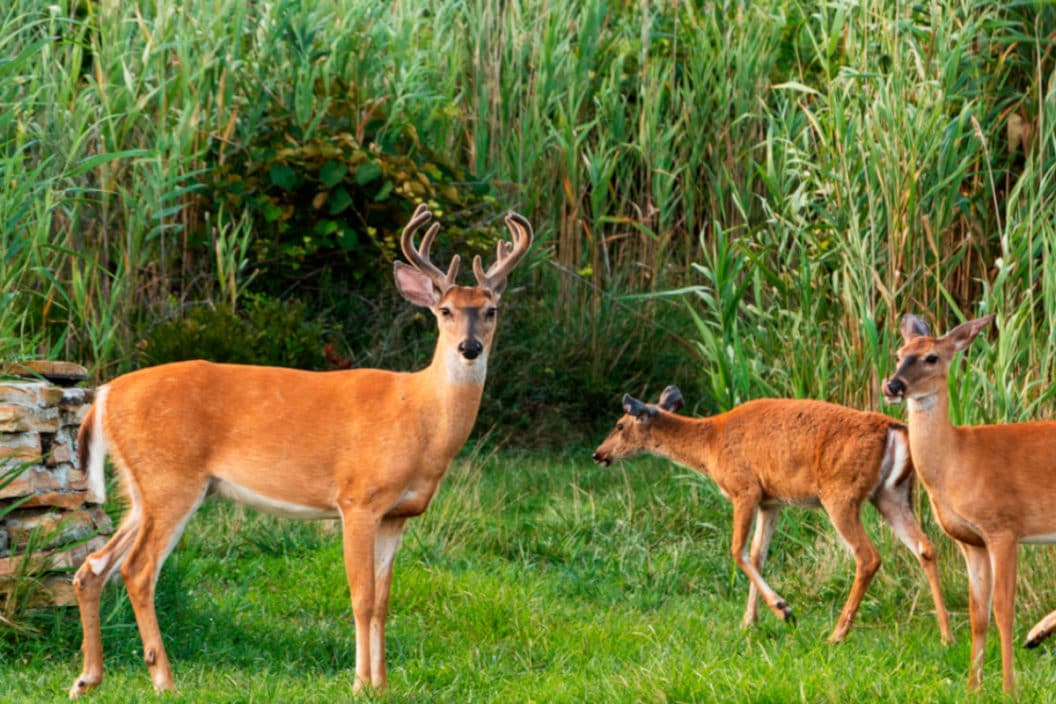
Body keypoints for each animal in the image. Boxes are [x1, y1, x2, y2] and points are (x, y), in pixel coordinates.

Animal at [64, 203, 532, 700]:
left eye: (491, 310)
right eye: (445, 310)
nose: (469, 347)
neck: (420, 416)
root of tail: (105, 394)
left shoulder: (397, 514)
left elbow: (384, 601)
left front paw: (383, 685)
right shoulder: (358, 498)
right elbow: (362, 596)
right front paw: (360, 684)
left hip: (144, 488)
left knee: (93, 565)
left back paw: (87, 678)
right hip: (170, 478)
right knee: (137, 569)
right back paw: (164, 681)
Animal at [591, 386, 954, 645]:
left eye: (619, 425)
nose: (598, 454)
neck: (710, 444)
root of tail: (893, 427)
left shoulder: (745, 488)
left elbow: (737, 551)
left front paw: (784, 610)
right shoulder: (772, 501)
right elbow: (758, 555)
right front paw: (749, 622)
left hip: (841, 494)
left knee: (868, 556)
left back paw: (836, 635)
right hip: (891, 494)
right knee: (925, 547)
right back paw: (946, 635)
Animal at [878, 314, 1056, 692]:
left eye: (931, 357)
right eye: (899, 353)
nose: (893, 385)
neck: (956, 459)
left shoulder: (1003, 527)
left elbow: (1003, 609)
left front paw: (1009, 688)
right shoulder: (970, 541)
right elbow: (978, 614)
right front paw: (973, 685)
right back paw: (1036, 636)